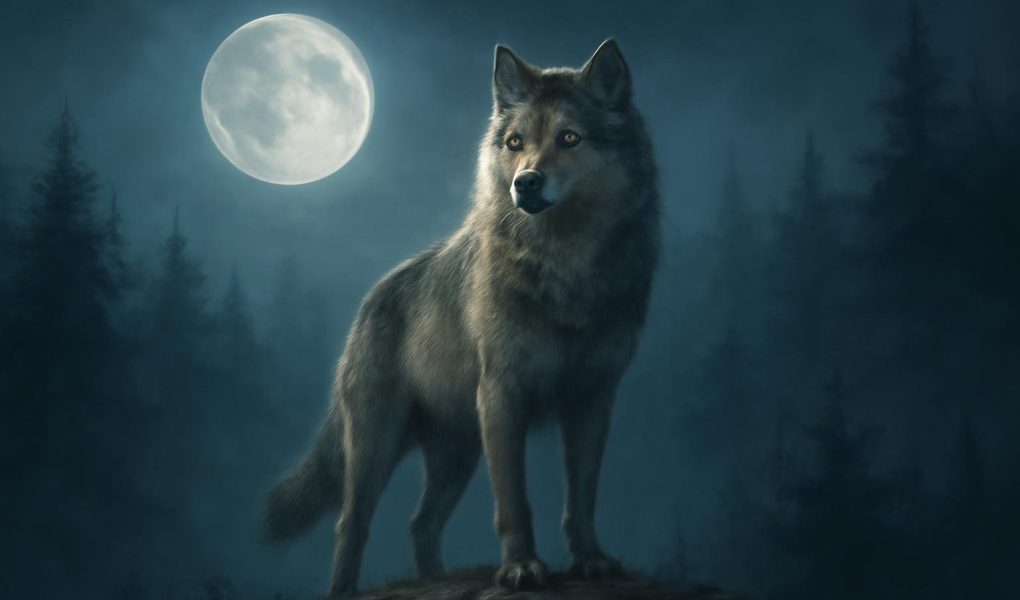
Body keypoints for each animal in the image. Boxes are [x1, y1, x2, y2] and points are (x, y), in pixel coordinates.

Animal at [263, 39, 660, 598]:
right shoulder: (502, 396)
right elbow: (514, 500)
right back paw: (344, 589)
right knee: (351, 524)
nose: (526, 182)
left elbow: (581, 496)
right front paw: (521, 568)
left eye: (570, 138)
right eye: (516, 142)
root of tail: (372, 297)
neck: (565, 266)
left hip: (457, 455)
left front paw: (590, 559)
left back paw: (434, 579)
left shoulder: (594, 399)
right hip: (377, 447)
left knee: (420, 524)